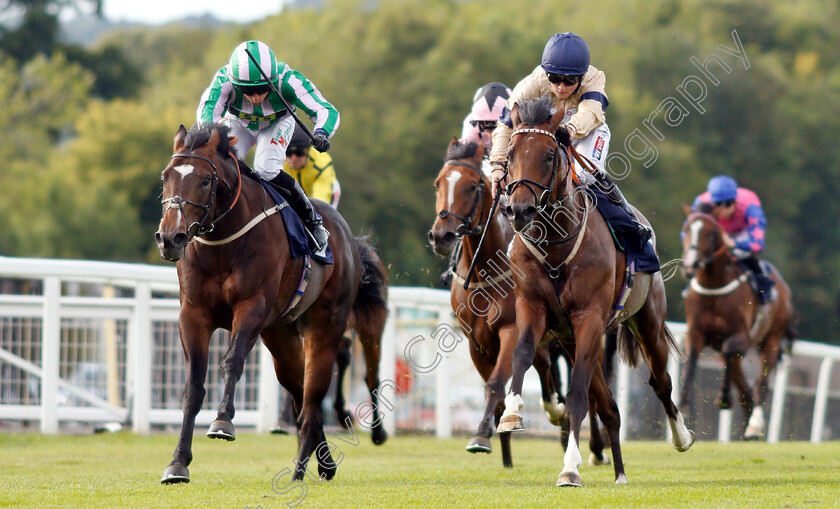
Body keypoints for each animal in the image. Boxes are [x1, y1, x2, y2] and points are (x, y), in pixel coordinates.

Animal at [157, 124, 388, 484]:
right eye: (165, 177)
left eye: (205, 180)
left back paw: (300, 471)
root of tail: (348, 238)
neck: (222, 242)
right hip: (281, 338)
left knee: (313, 398)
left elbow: (232, 361)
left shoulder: (252, 308)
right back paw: (324, 463)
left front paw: (223, 421)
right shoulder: (193, 314)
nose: (171, 238)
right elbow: (193, 386)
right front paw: (178, 463)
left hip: (325, 327)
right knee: (301, 396)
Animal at [430, 137, 608, 466]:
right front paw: (503, 449)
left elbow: (496, 384)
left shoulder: (511, 329)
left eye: (472, 186)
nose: (441, 236)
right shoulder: (477, 342)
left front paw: (481, 436)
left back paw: (596, 447)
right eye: (439, 183)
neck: (487, 268)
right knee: (548, 371)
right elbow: (499, 389)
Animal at [496, 96, 692, 488]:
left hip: (646, 322)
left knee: (660, 381)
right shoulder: (532, 306)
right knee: (609, 406)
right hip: (573, 340)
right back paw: (619, 472)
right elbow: (523, 355)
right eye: (510, 155)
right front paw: (511, 413)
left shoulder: (589, 317)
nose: (519, 209)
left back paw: (681, 436)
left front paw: (570, 469)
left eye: (549, 156)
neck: (556, 245)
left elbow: (576, 396)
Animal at [676, 204, 796, 438]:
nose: (690, 266)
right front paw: (683, 409)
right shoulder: (695, 332)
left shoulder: (739, 336)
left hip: (772, 338)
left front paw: (723, 399)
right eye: (686, 229)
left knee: (761, 383)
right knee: (742, 383)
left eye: (711, 233)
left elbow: (730, 350)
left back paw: (754, 426)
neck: (713, 288)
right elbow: (691, 361)